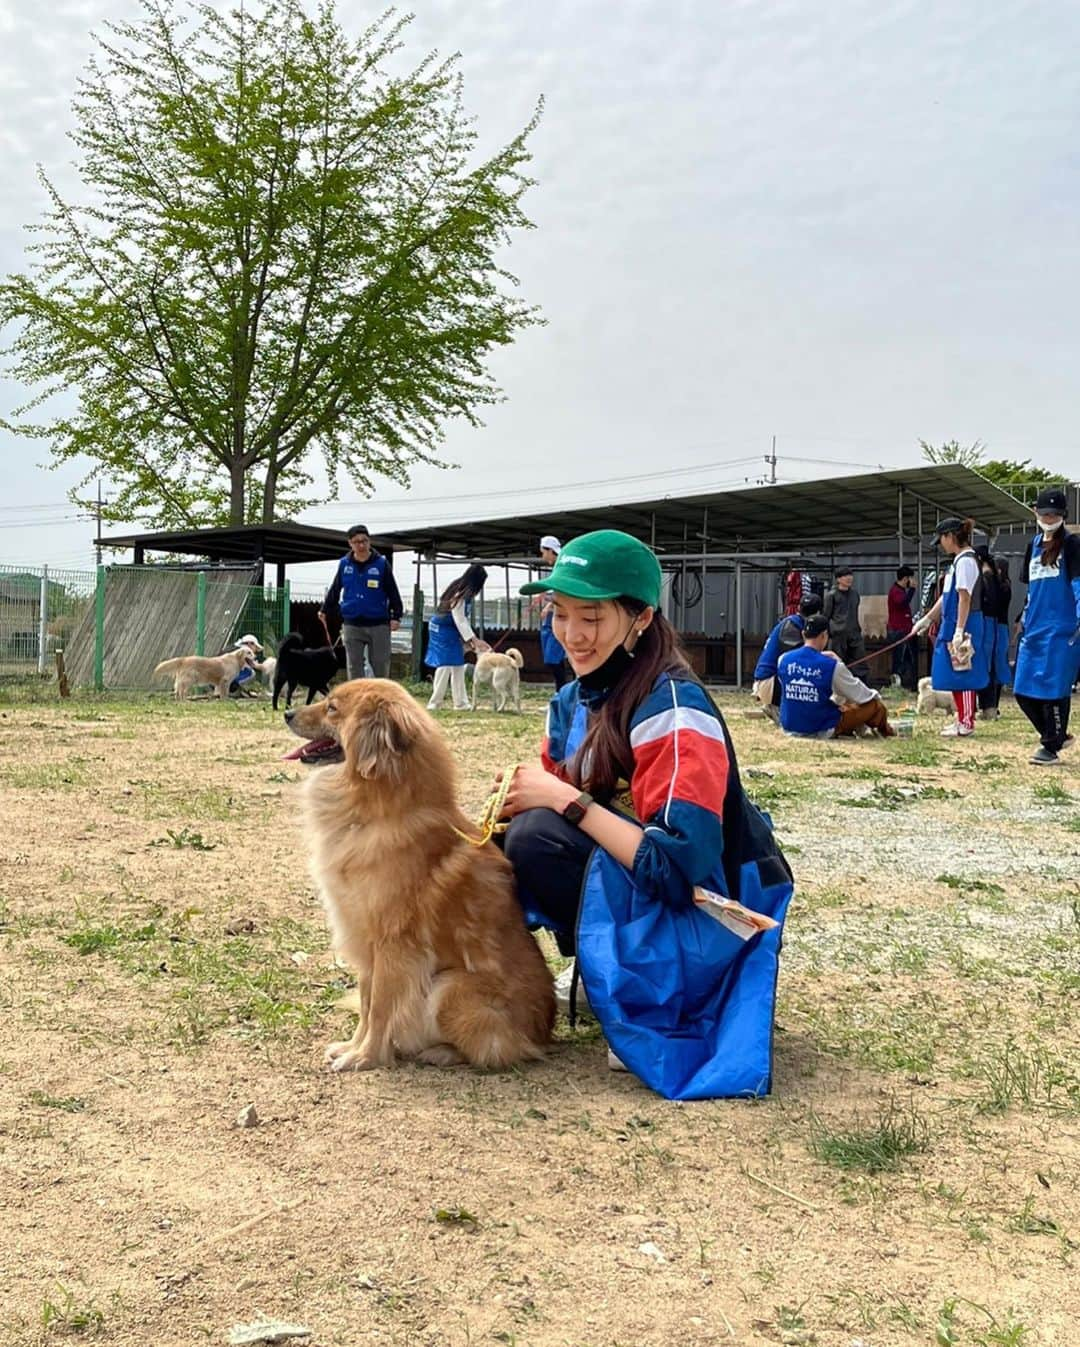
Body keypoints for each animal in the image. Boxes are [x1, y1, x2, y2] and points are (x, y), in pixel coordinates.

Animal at [284, 684, 554, 1072]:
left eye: (332, 708)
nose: (286, 713)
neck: (378, 812)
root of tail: (544, 1032)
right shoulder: (365, 939)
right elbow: (366, 1004)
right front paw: (352, 1047)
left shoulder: (393, 945)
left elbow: (380, 1008)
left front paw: (366, 1057)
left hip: (450, 988)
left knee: (495, 1050)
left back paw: (440, 1052)